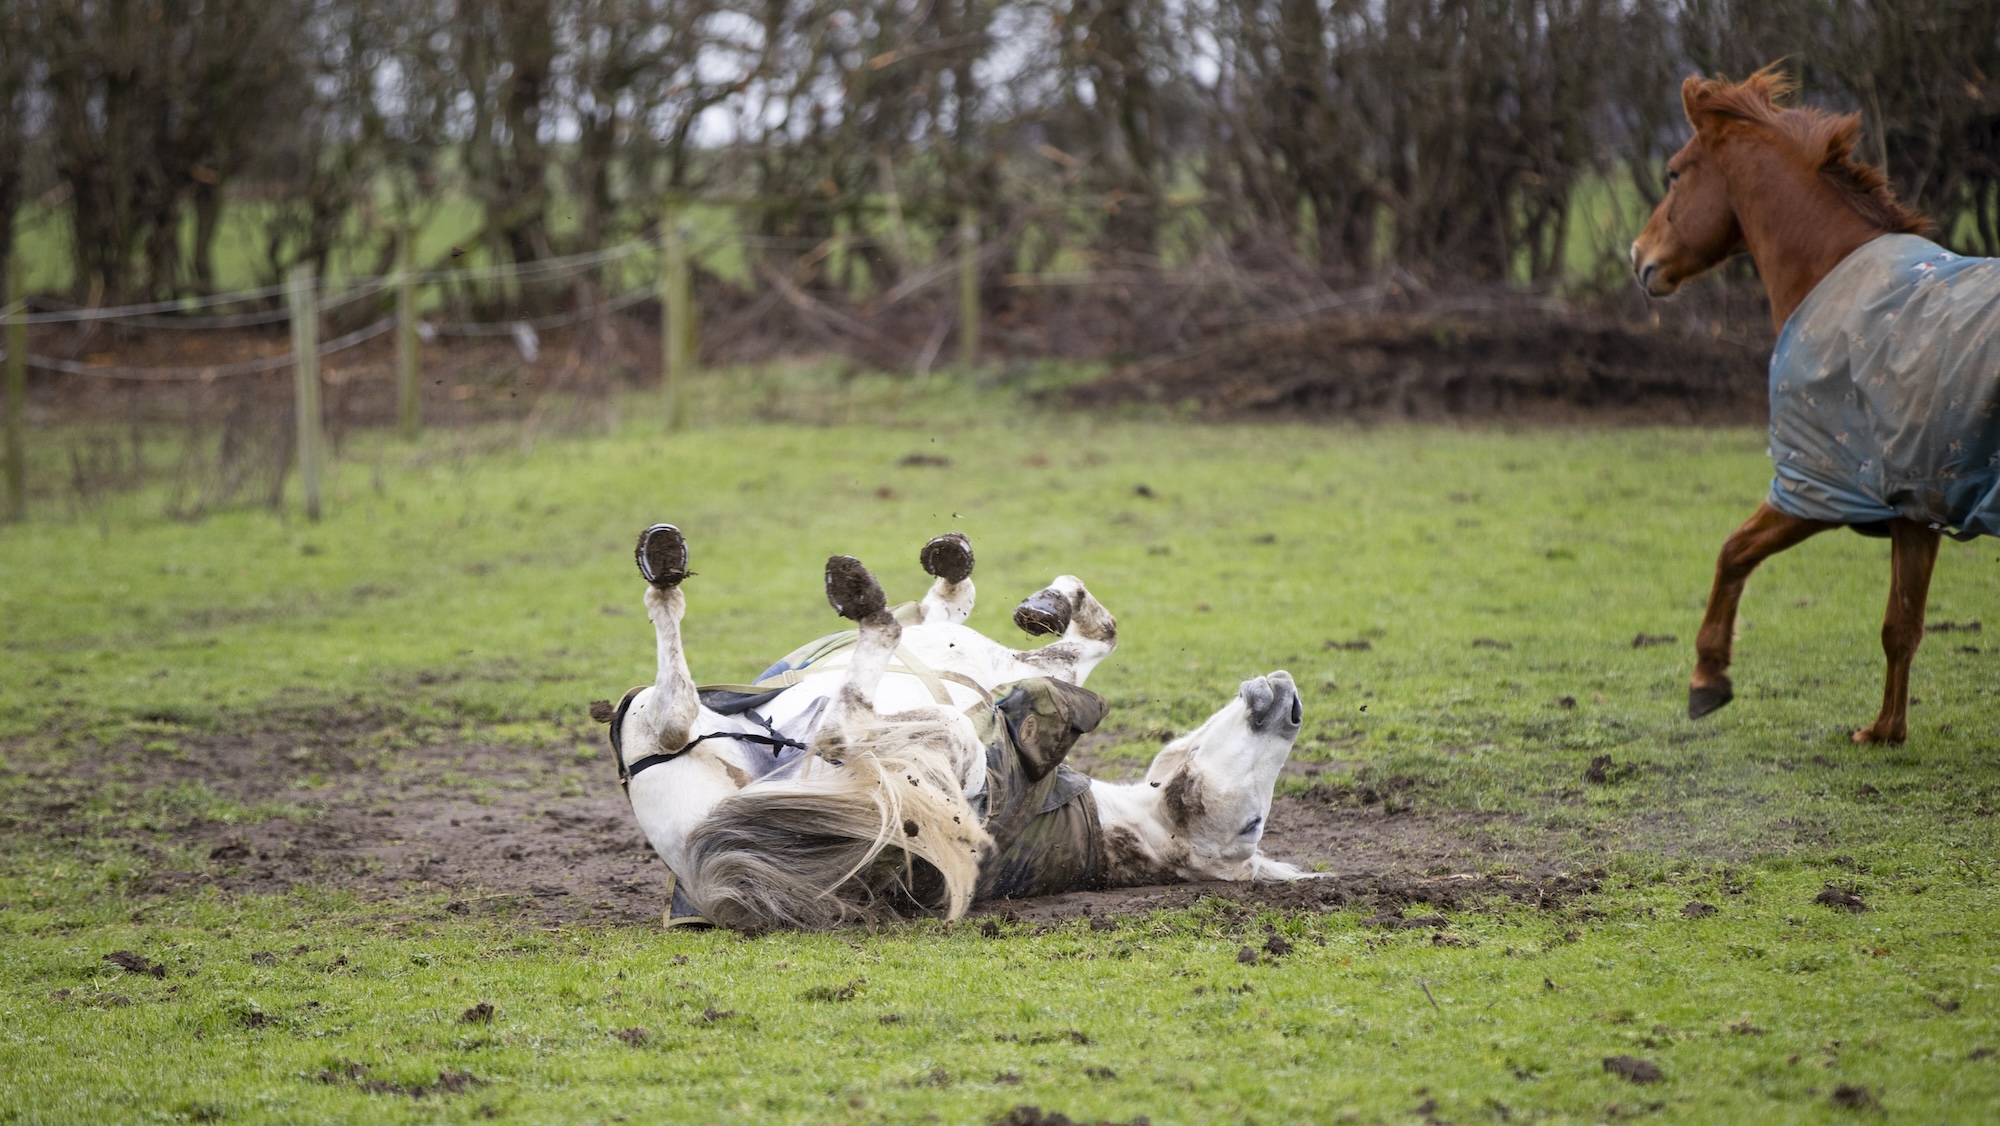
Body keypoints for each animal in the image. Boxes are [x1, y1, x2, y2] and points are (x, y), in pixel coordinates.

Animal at [594, 524, 1311, 930]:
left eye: (1251, 824)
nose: (1290, 702)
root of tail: (705, 866)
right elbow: (1084, 630)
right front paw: (1028, 596)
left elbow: (1083, 637)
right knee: (679, 713)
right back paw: (667, 561)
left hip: (910, 756)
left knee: (779, 724)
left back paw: (859, 604)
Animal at [1630, 65, 2000, 744]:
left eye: (1673, 172)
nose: (1638, 256)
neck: (1833, 270)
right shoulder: (1913, 502)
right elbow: (1901, 626)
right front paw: (1885, 731)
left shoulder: (1819, 488)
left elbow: (1732, 552)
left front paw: (1707, 678)